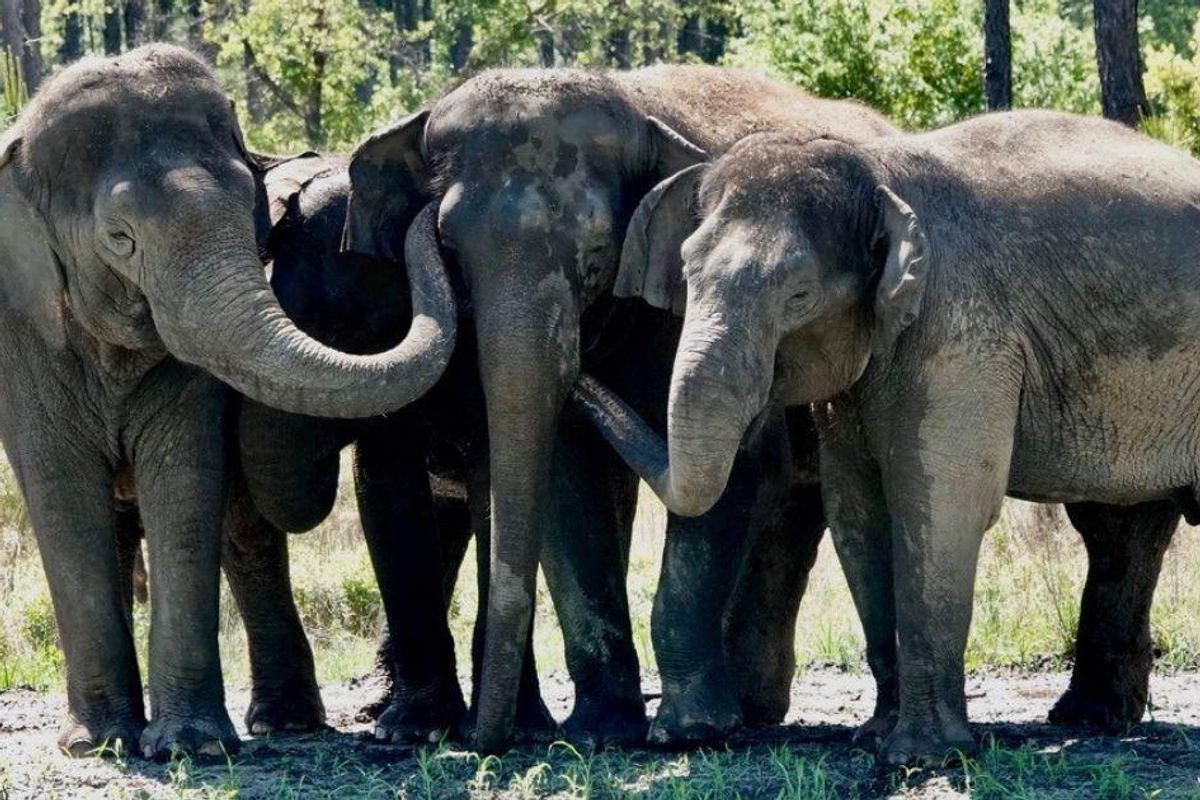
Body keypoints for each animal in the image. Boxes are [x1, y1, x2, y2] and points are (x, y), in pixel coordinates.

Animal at [0, 45, 455, 758]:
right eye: (119, 239)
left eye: (252, 209)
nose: (434, 212)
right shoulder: (23, 331)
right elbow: (61, 491)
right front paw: (98, 746)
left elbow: (184, 480)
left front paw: (190, 747)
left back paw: (283, 723)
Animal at [344, 65, 899, 750]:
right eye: (449, 250)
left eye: (597, 254)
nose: (487, 742)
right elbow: (565, 480)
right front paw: (600, 733)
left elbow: (736, 469)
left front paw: (688, 732)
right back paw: (750, 706)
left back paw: (743, 710)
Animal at [573, 110, 1194, 764]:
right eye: (687, 273)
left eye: (799, 295)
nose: (578, 370)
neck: (878, 172)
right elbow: (857, 511)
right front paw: (875, 738)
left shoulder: (962, 333)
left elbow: (939, 505)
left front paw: (921, 756)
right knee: (1123, 529)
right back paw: (1091, 720)